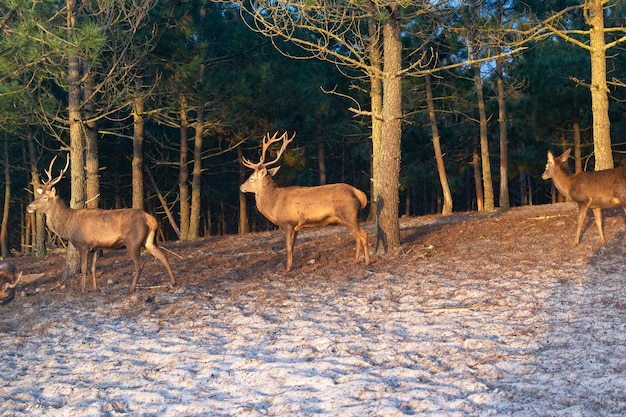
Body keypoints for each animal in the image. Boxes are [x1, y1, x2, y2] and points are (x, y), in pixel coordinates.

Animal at [25, 155, 174, 292]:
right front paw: (96, 288)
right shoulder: (95, 247)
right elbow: (93, 268)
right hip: (149, 240)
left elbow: (84, 268)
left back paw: (131, 288)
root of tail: (151, 219)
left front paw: (82, 290)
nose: (28, 207)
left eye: (45, 197)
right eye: (39, 195)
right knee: (163, 255)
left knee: (140, 263)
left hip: (133, 241)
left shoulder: (83, 244)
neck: (68, 226)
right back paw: (173, 282)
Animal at [241, 132, 370, 272]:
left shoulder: (288, 223)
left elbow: (288, 247)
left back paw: (367, 262)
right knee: (357, 236)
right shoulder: (296, 226)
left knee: (363, 234)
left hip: (349, 214)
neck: (274, 204)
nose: (241, 187)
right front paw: (291, 266)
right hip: (347, 218)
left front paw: (287, 269)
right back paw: (355, 261)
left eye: (251, 178)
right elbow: (292, 247)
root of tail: (359, 193)